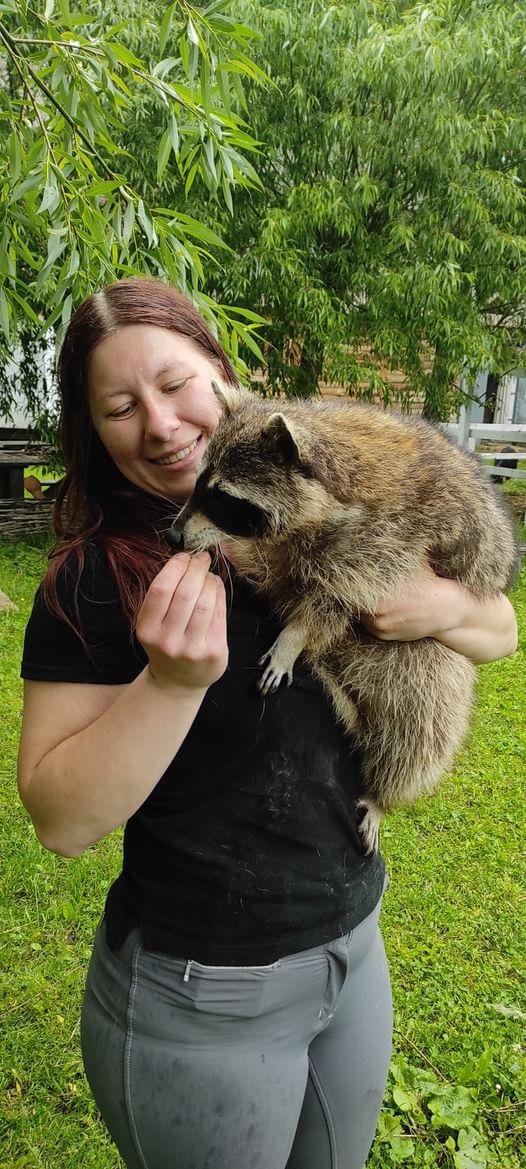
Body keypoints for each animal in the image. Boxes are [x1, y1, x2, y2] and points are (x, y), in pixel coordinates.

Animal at [165, 383, 516, 851]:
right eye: (198, 483)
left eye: (222, 498)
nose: (173, 535)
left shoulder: (393, 536)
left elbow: (338, 596)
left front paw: (295, 635)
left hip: (428, 660)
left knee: (424, 713)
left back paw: (384, 793)